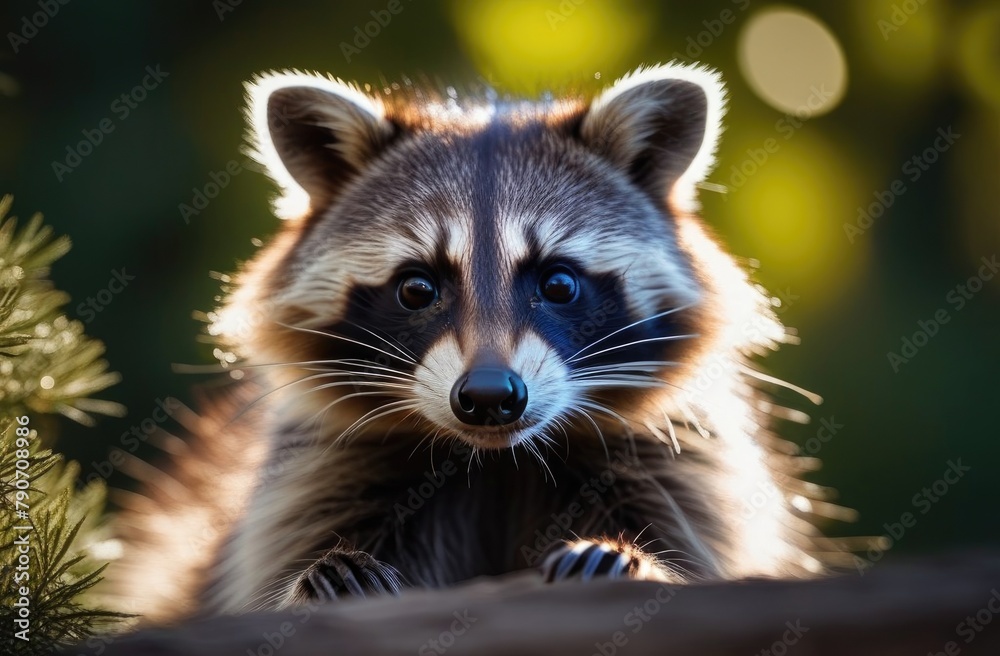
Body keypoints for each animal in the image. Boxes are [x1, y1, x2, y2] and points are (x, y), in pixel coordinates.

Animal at [111, 61, 844, 620]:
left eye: (558, 282)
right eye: (416, 288)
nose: (491, 397)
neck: (496, 461)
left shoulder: (680, 463)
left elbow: (700, 555)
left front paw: (631, 561)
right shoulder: (316, 474)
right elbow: (271, 571)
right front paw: (319, 582)